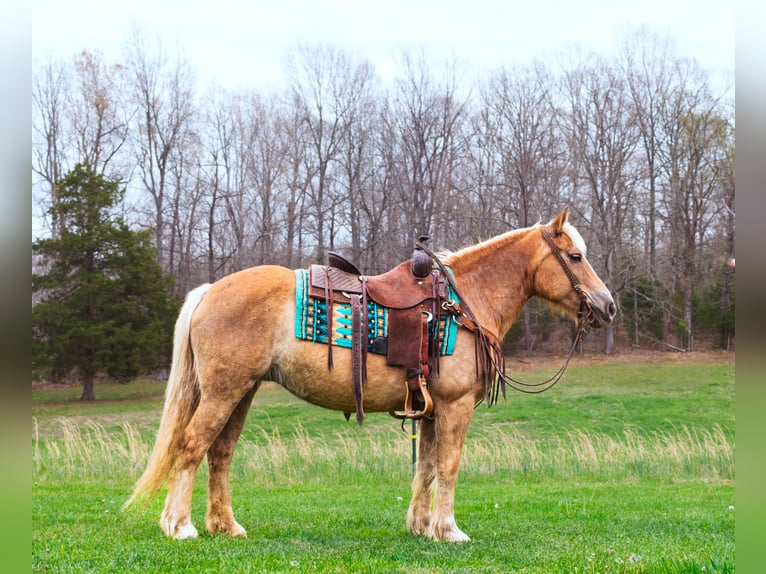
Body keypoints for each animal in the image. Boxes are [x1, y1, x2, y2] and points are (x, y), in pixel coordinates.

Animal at [126, 207, 616, 544]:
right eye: (575, 256)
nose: (608, 306)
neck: (462, 303)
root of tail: (211, 290)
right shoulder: (455, 406)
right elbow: (450, 465)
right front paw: (449, 529)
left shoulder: (430, 410)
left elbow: (428, 465)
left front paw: (422, 526)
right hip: (222, 392)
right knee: (192, 445)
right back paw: (180, 525)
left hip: (240, 393)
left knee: (220, 453)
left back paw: (225, 526)